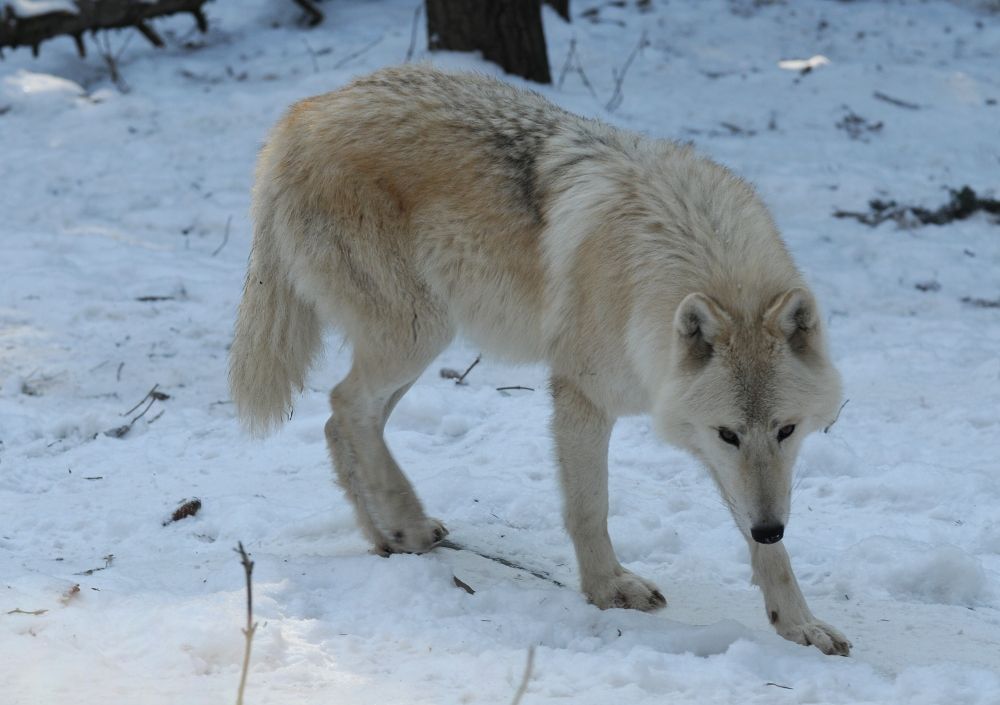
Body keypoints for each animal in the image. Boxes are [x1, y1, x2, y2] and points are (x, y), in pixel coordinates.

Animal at [232, 64, 852, 656]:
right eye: (730, 433)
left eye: (787, 430)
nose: (772, 527)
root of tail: (299, 116)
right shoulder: (583, 398)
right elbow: (589, 508)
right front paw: (607, 589)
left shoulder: (700, 435)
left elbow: (763, 547)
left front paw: (799, 623)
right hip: (416, 335)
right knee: (345, 405)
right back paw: (405, 523)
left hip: (419, 345)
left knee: (341, 421)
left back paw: (387, 535)